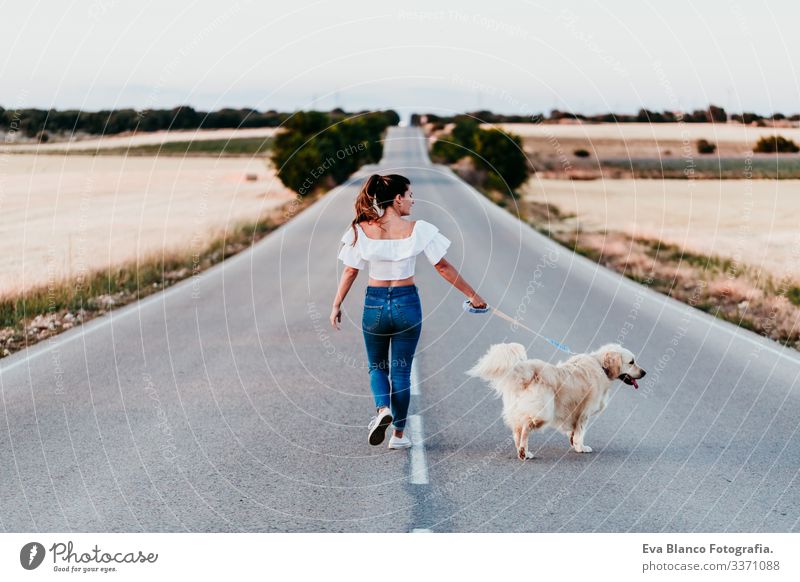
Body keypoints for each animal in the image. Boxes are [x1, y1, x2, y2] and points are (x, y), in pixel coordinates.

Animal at [466, 344, 648, 464]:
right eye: (631, 362)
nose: (645, 372)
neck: (601, 365)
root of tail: (526, 371)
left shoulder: (575, 413)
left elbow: (573, 432)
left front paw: (573, 443)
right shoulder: (584, 412)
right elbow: (580, 431)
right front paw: (581, 447)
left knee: (517, 431)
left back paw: (523, 452)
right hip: (544, 412)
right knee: (525, 428)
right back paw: (524, 452)